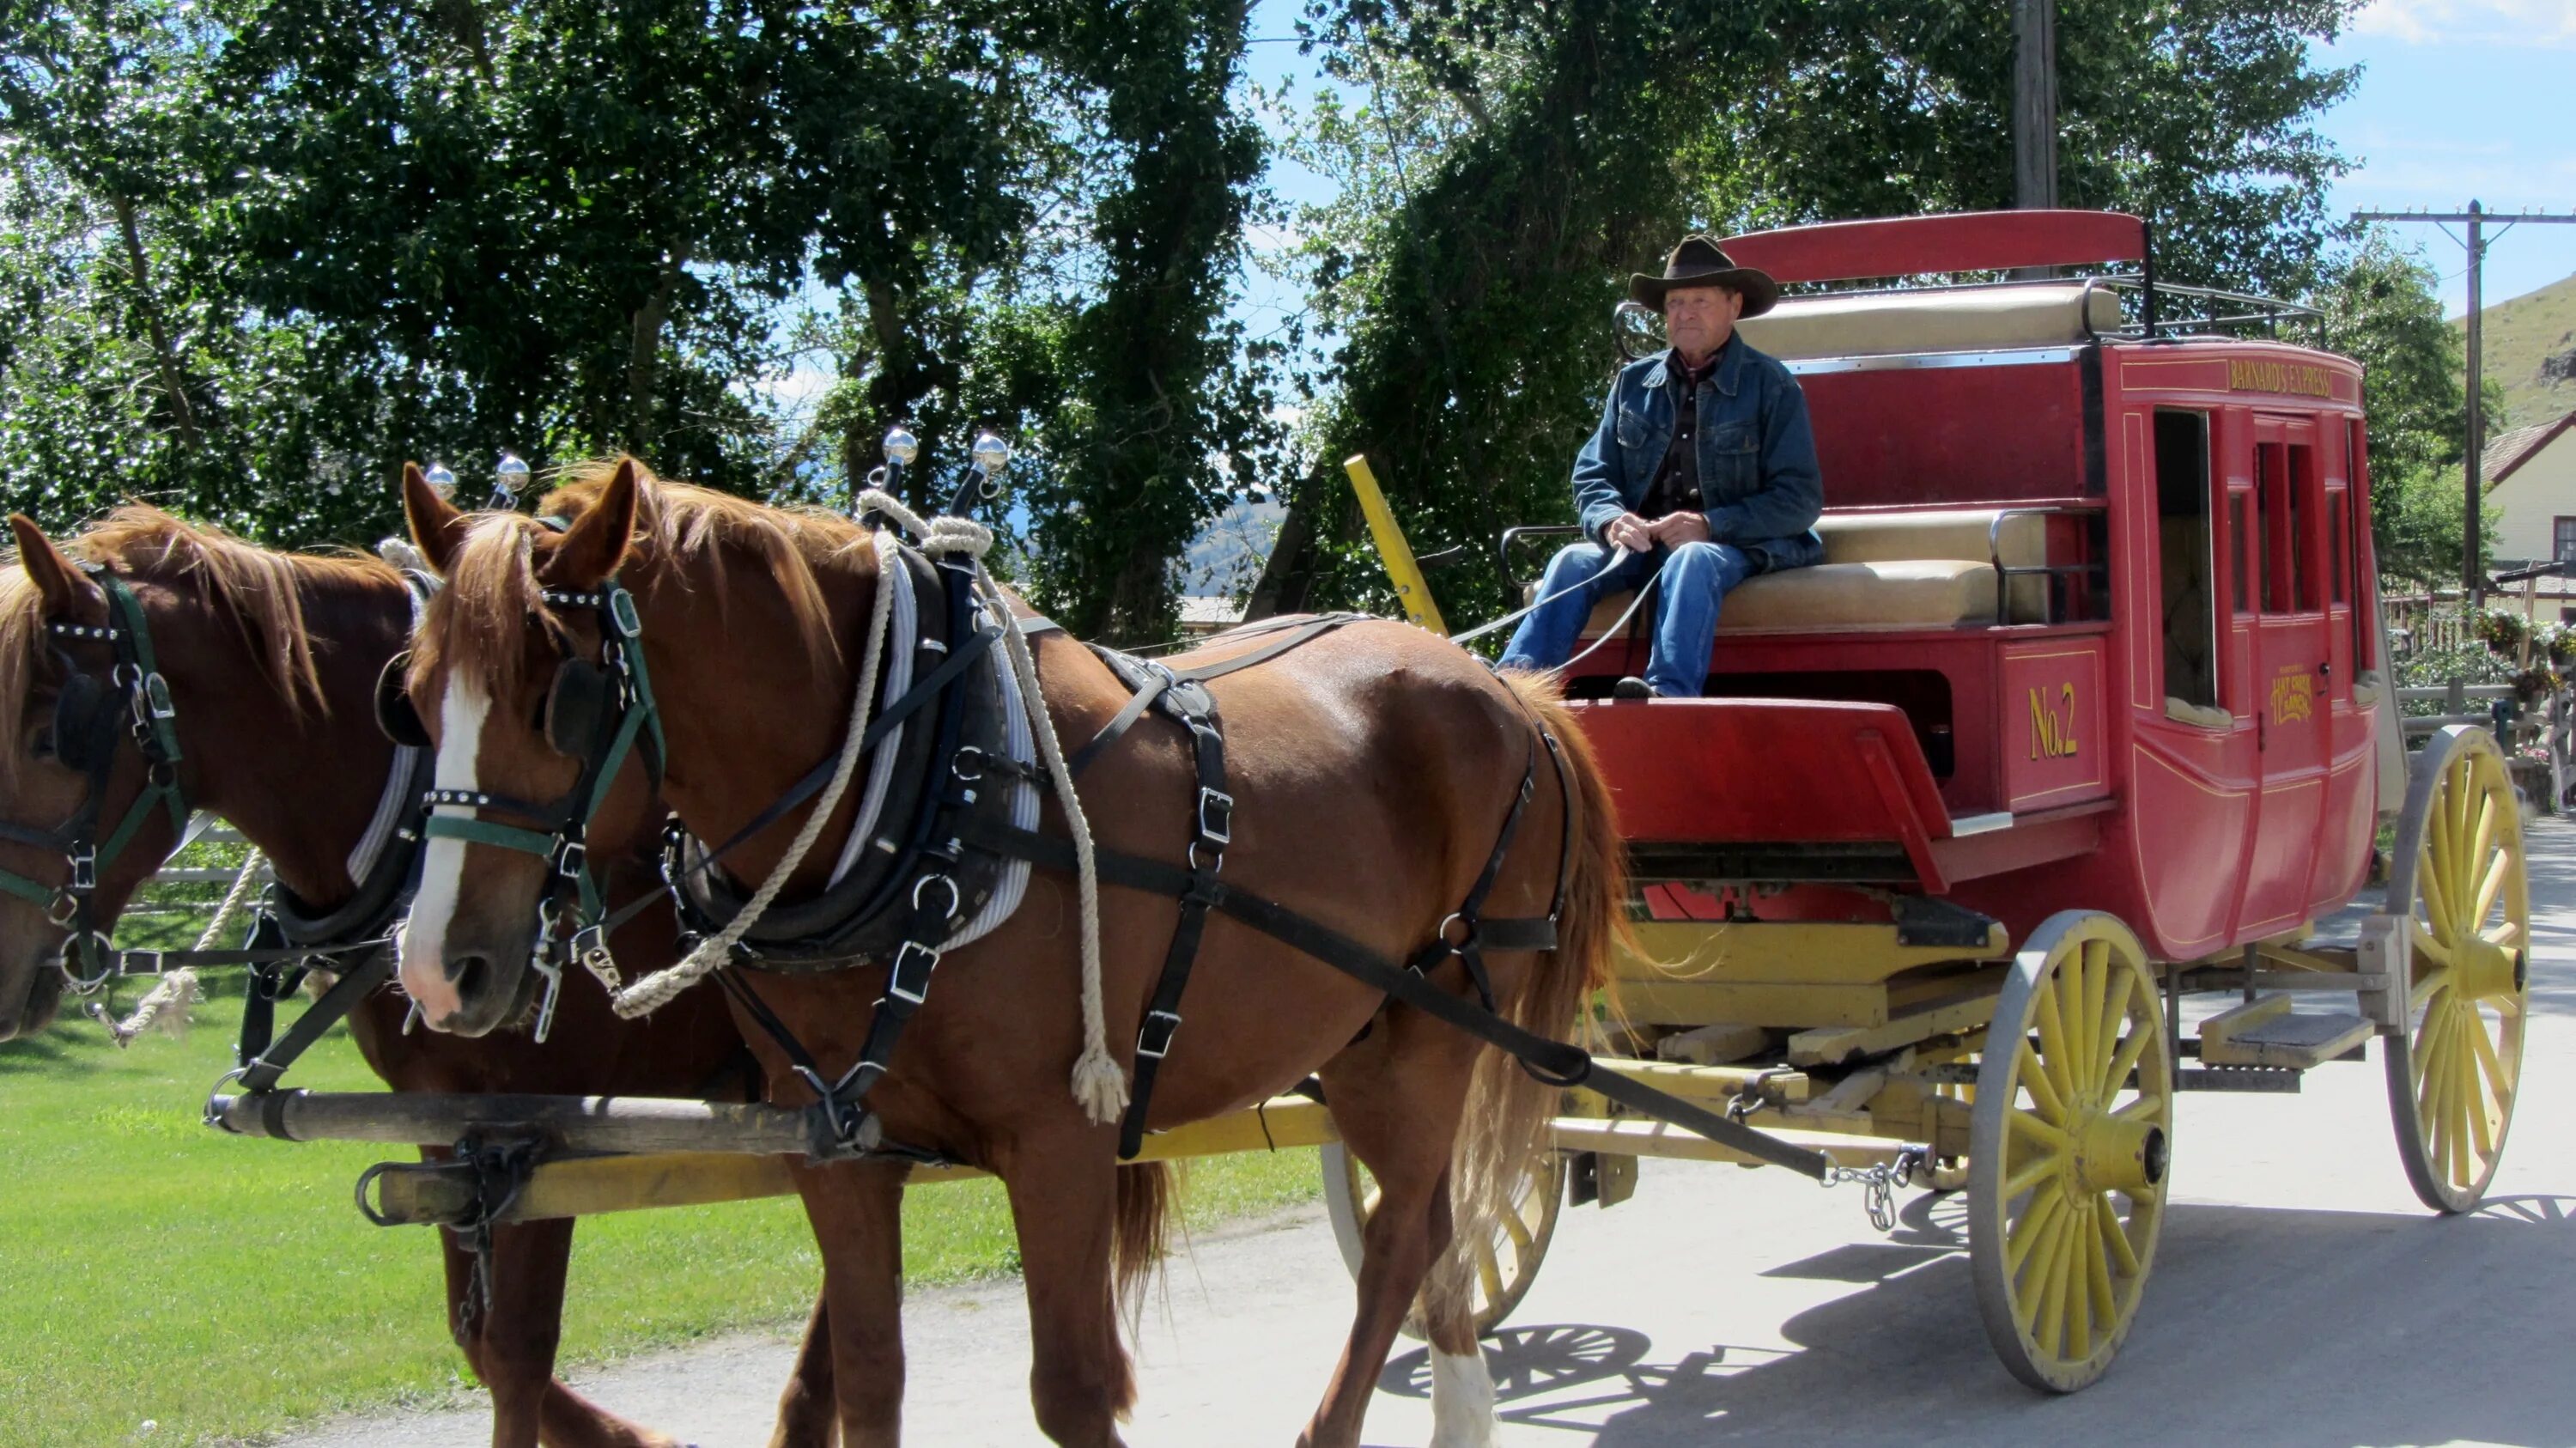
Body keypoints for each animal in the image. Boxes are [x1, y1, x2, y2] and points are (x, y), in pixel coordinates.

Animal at [0, 510, 829, 1443]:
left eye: (51, 736)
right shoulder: (444, 1131)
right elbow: (482, 1345)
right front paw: (630, 1434)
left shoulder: (527, 1133)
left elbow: (517, 1351)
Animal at [392, 461, 1618, 1443]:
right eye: (409, 699)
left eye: (562, 698)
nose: (438, 969)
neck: (924, 789)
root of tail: (1506, 689)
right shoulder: (837, 1151)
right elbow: (870, 1380)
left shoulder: (1060, 1142)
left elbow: (1070, 1392)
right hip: (1360, 1043)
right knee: (1437, 1226)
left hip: (1432, 1032)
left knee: (1403, 1236)